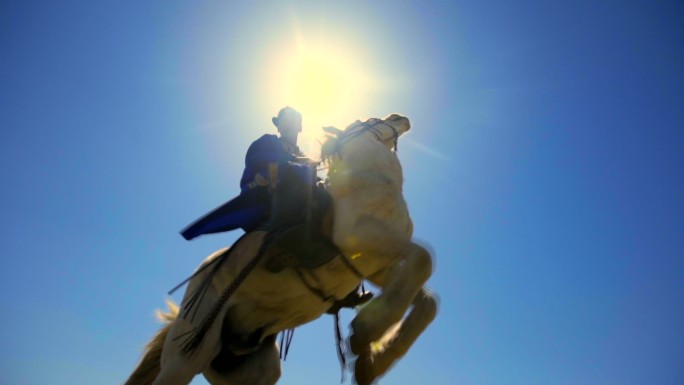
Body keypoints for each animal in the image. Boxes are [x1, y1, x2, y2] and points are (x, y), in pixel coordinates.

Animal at [125, 114, 436, 384]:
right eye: (366, 121)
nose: (399, 117)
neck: (368, 182)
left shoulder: (375, 266)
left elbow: (425, 299)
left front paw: (371, 361)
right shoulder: (365, 243)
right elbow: (424, 259)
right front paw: (364, 333)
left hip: (254, 369)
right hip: (187, 356)